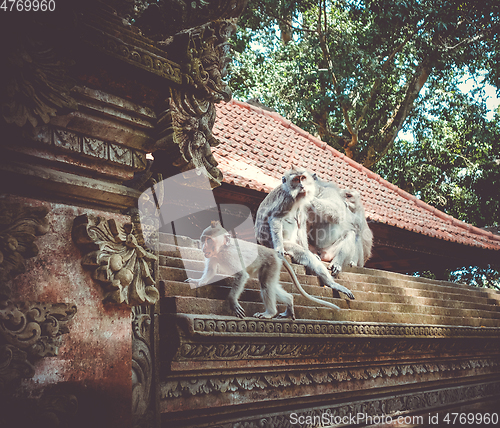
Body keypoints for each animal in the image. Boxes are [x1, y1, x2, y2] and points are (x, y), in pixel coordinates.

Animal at [254, 166, 356, 300]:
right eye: (296, 179)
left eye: (302, 178)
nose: (302, 186)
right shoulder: (288, 199)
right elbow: (276, 218)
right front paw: (279, 248)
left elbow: (301, 225)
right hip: (281, 243)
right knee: (302, 251)